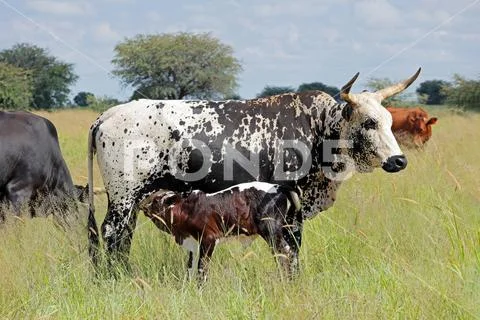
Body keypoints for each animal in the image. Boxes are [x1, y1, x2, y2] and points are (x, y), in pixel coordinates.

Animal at [87, 68, 420, 268]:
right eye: (369, 122)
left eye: (390, 121)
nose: (399, 160)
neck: (317, 126)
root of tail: (107, 115)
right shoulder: (291, 202)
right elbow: (290, 249)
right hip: (123, 197)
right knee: (112, 234)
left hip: (132, 199)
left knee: (119, 236)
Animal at [141, 181, 302, 282]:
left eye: (156, 201)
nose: (143, 207)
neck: (188, 211)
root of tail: (279, 186)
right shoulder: (193, 244)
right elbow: (190, 268)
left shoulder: (209, 239)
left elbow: (202, 268)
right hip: (285, 229)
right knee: (289, 252)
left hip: (271, 231)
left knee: (286, 253)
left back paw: (287, 280)